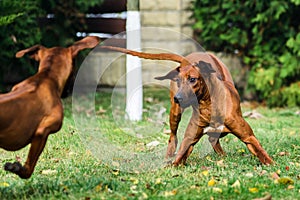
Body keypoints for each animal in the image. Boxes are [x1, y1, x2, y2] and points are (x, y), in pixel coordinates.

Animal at [101, 45, 274, 166]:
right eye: (178, 80)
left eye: (192, 79)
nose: (178, 97)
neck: (208, 105)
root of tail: (187, 58)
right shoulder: (189, 140)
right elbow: (179, 157)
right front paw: (169, 166)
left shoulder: (248, 137)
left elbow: (261, 152)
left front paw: (272, 166)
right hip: (175, 112)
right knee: (173, 136)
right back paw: (169, 154)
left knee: (213, 139)